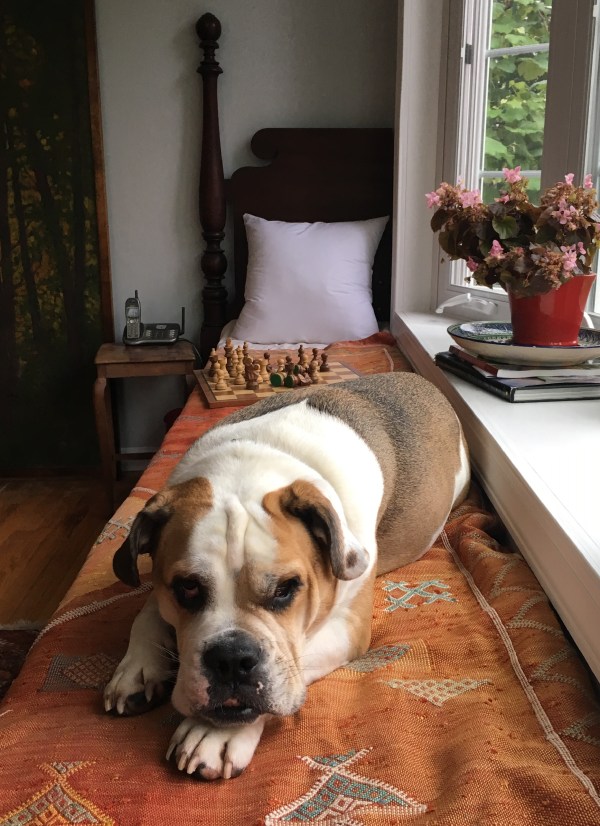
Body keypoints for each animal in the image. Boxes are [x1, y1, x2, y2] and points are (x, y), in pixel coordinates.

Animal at [104, 372, 470, 780]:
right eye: (188, 588)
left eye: (285, 589)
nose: (232, 657)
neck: (249, 466)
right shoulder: (160, 586)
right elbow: (146, 614)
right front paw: (137, 668)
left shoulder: (347, 628)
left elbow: (292, 663)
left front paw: (213, 733)